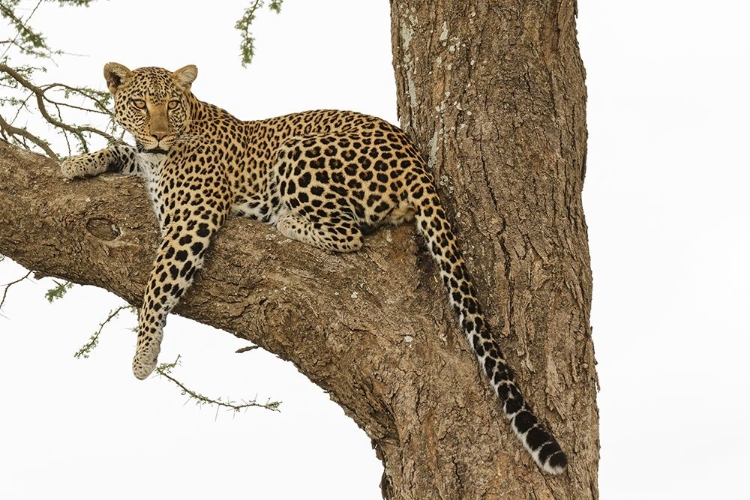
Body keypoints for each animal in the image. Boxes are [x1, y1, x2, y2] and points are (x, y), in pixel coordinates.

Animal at [61, 62, 568, 472]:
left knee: (349, 233)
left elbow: (157, 284)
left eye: (171, 105)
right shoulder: (148, 166)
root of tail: (416, 160)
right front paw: (76, 163)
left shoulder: (191, 218)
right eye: (140, 104)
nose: (161, 133)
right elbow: (121, 150)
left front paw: (143, 355)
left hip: (300, 150)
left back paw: (285, 218)